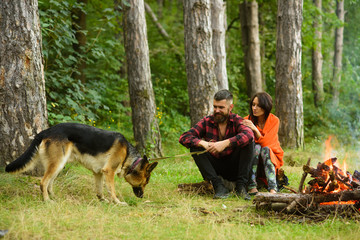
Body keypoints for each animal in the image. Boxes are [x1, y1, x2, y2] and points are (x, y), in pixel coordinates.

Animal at [4, 124, 158, 204]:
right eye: (146, 182)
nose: (142, 197)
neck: (128, 155)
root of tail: (46, 130)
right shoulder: (109, 171)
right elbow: (112, 190)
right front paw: (117, 202)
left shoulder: (98, 173)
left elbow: (99, 190)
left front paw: (103, 201)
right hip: (57, 164)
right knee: (43, 182)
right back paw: (47, 201)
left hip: (59, 164)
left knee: (49, 183)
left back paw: (55, 198)